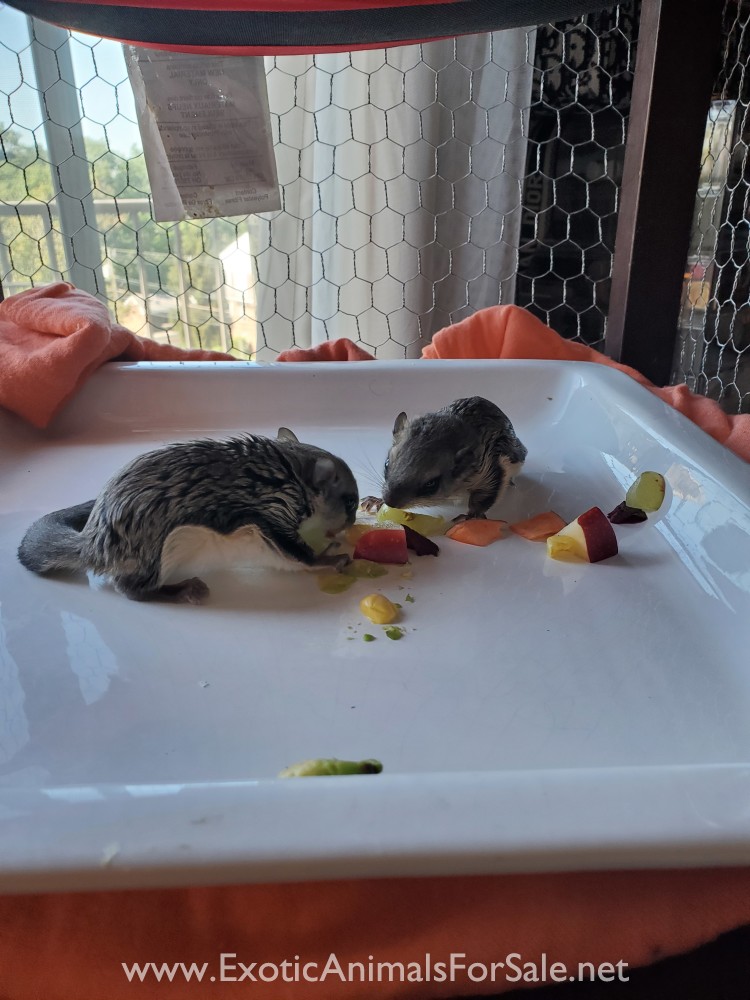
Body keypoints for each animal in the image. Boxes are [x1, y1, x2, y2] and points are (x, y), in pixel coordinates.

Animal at [17, 428, 358, 603]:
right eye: (350, 503)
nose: (352, 523)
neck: (290, 472)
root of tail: (93, 545)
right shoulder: (270, 514)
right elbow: (297, 555)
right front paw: (331, 556)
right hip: (157, 555)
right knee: (131, 589)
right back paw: (180, 590)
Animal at [361, 396, 527, 521]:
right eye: (386, 463)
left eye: (431, 484)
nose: (390, 502)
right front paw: (375, 501)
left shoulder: (490, 471)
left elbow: (482, 499)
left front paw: (470, 517)